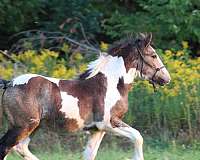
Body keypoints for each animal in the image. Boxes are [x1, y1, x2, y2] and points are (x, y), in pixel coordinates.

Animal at [0, 33, 170, 159]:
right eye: (153, 55)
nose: (166, 78)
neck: (111, 84)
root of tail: (10, 83)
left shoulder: (97, 130)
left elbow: (90, 155)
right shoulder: (108, 123)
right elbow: (137, 136)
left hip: (34, 126)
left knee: (20, 148)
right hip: (23, 126)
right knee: (6, 147)